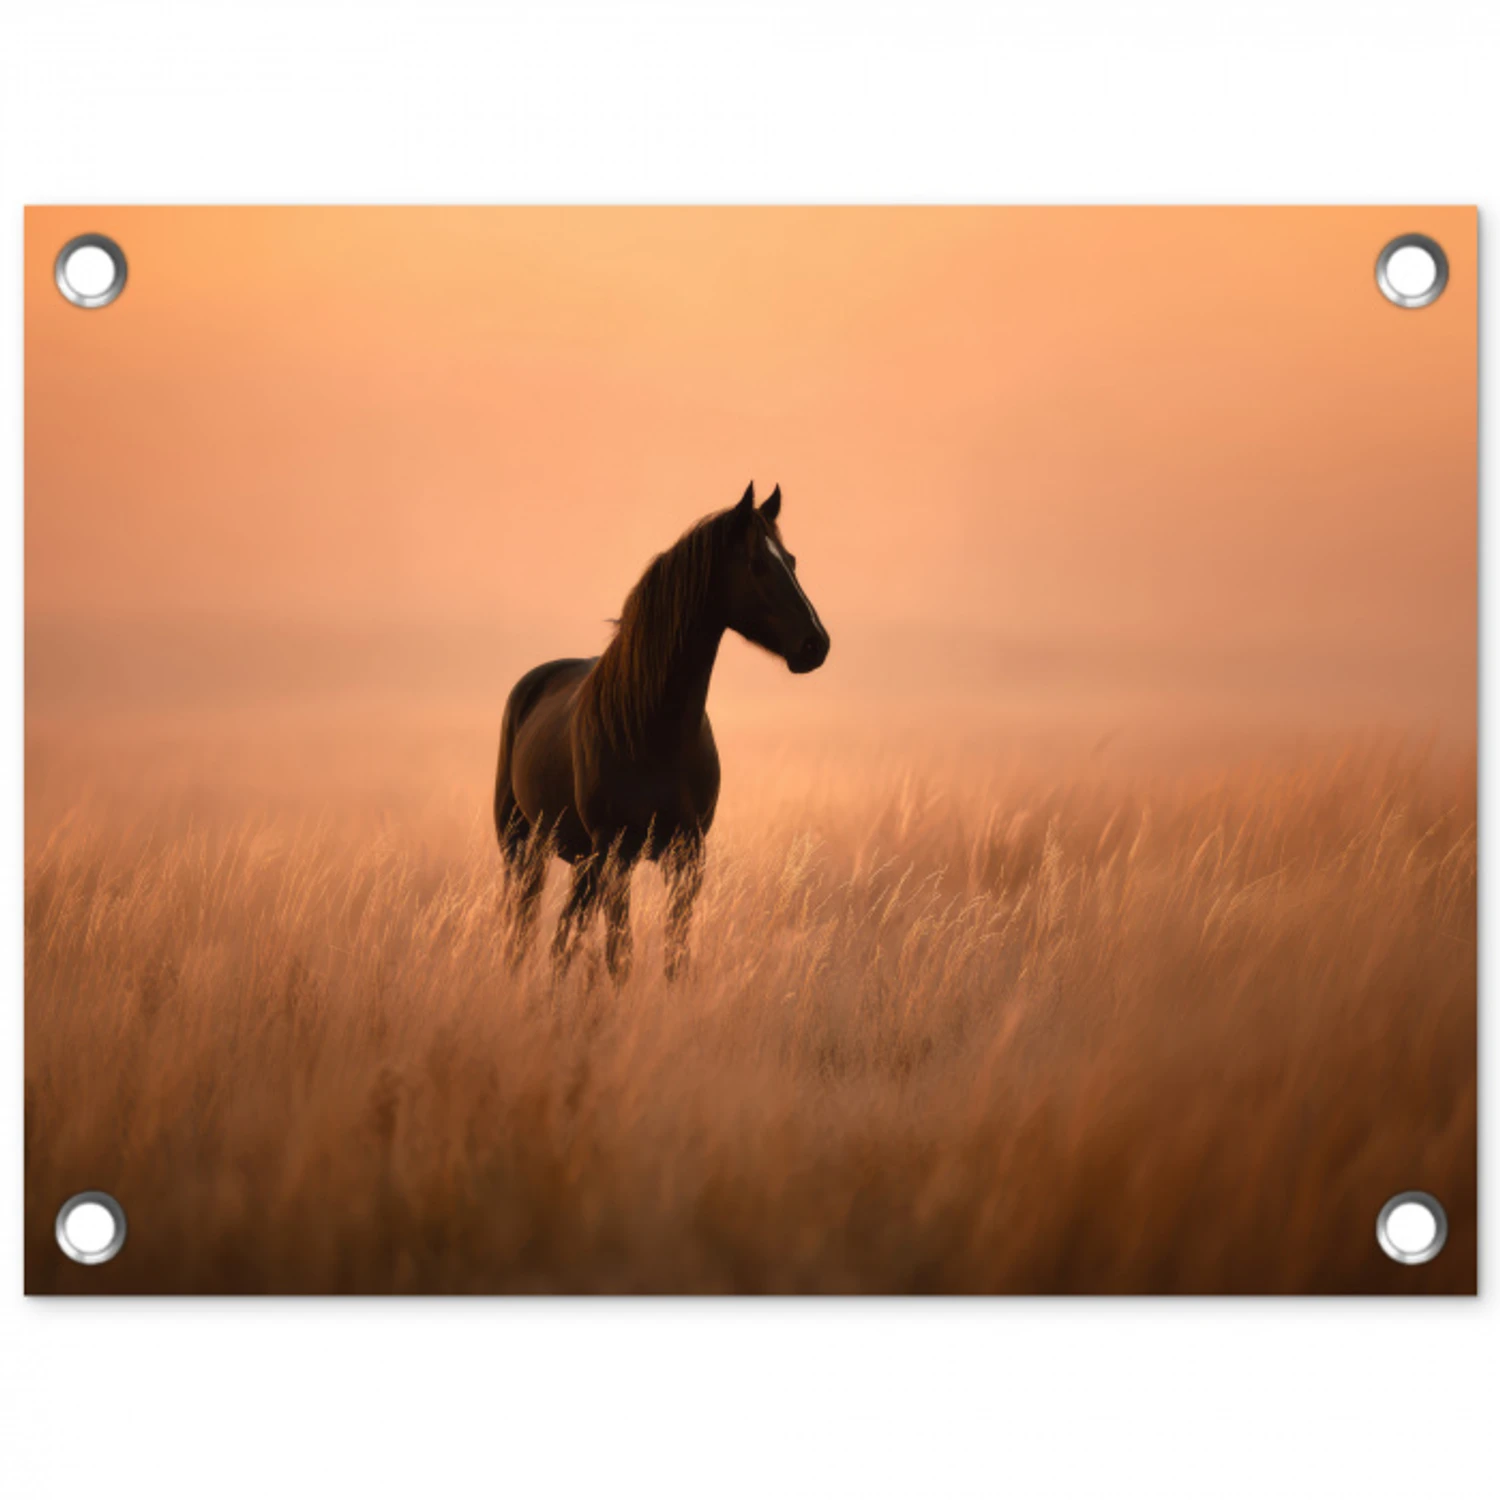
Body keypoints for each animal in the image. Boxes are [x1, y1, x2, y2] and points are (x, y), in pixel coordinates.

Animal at [493, 481, 830, 981]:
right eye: (757, 563)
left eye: (790, 560)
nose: (815, 644)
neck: (655, 729)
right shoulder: (617, 854)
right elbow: (620, 956)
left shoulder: (686, 855)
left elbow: (675, 956)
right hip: (524, 846)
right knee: (526, 931)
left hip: (580, 860)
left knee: (563, 937)